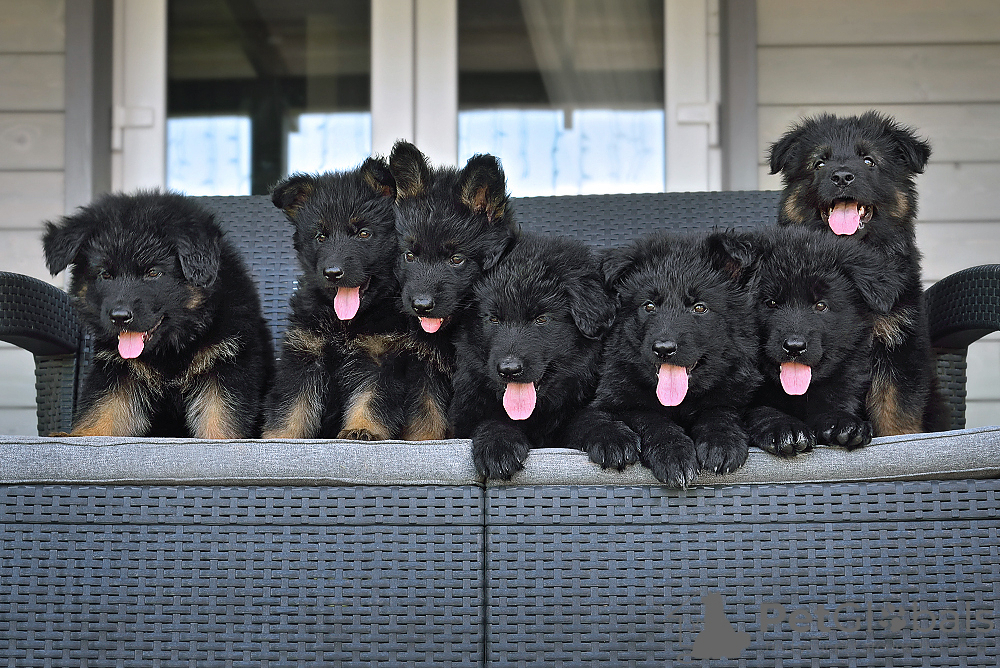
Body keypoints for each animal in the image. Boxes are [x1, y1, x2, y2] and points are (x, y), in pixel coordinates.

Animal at [41, 190, 272, 438]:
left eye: (153, 273)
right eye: (105, 274)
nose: (119, 317)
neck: (171, 349)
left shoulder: (227, 364)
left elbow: (221, 420)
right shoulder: (117, 370)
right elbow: (102, 410)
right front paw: (78, 435)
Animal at [262, 158, 450, 441]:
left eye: (363, 233)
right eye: (321, 236)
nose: (333, 273)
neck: (346, 323)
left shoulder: (380, 356)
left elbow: (370, 398)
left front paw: (362, 428)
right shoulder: (304, 353)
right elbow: (292, 405)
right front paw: (279, 437)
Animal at [449, 232, 615, 480]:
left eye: (541, 319)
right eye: (493, 319)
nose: (509, 369)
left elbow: (586, 416)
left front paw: (610, 436)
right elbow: (491, 420)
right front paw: (499, 447)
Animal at [566, 231, 761, 487]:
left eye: (700, 308)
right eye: (649, 306)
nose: (663, 349)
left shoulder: (734, 394)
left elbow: (720, 409)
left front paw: (721, 442)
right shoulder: (618, 401)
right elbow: (650, 418)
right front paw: (673, 455)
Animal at [745, 227, 906, 456]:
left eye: (821, 305)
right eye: (771, 303)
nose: (794, 347)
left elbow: (831, 407)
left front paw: (843, 422)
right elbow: (760, 410)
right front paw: (784, 427)